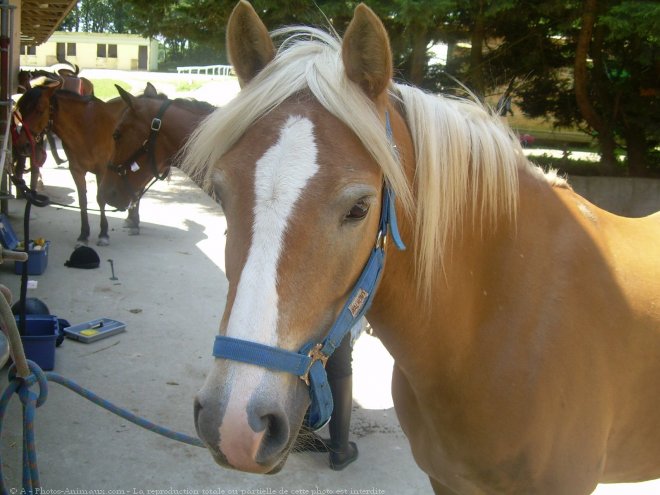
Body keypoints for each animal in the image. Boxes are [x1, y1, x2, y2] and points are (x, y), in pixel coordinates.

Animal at [14, 86, 126, 247]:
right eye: (21, 110)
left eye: (40, 109)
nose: (23, 145)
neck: (86, 127)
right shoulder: (76, 171)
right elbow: (82, 201)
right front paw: (83, 235)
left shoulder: (102, 171)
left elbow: (100, 199)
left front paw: (103, 234)